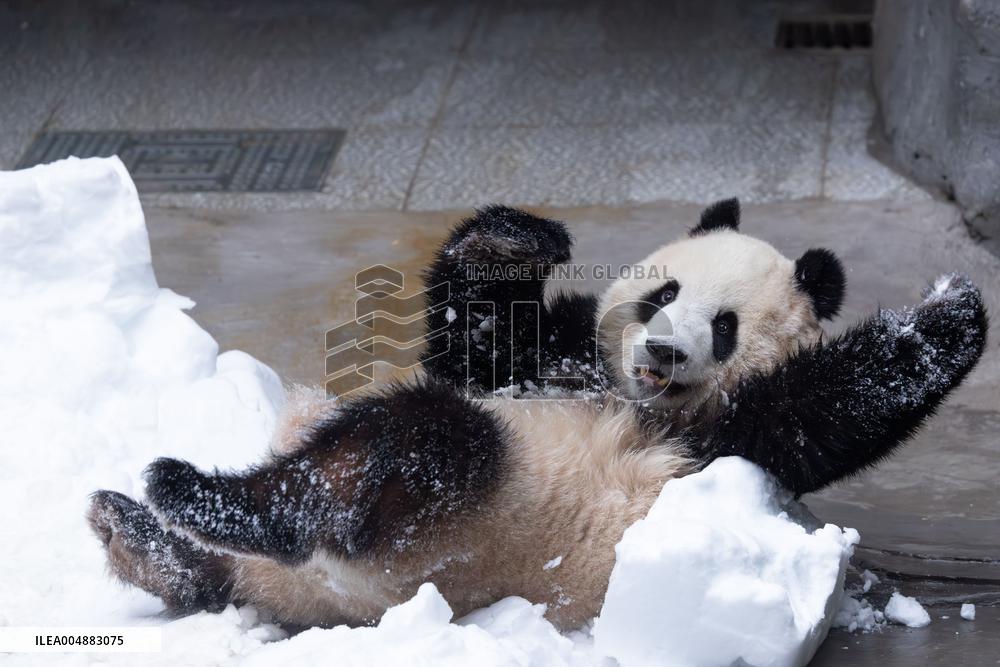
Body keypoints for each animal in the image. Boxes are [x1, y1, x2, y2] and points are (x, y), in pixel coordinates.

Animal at [87, 199, 987, 630]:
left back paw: (201, 498)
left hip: (456, 536)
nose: (665, 350)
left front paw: (951, 311)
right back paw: (143, 537)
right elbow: (476, 337)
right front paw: (519, 240)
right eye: (663, 293)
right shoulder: (547, 354)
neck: (618, 386)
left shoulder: (716, 437)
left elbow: (820, 409)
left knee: (416, 447)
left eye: (726, 324)